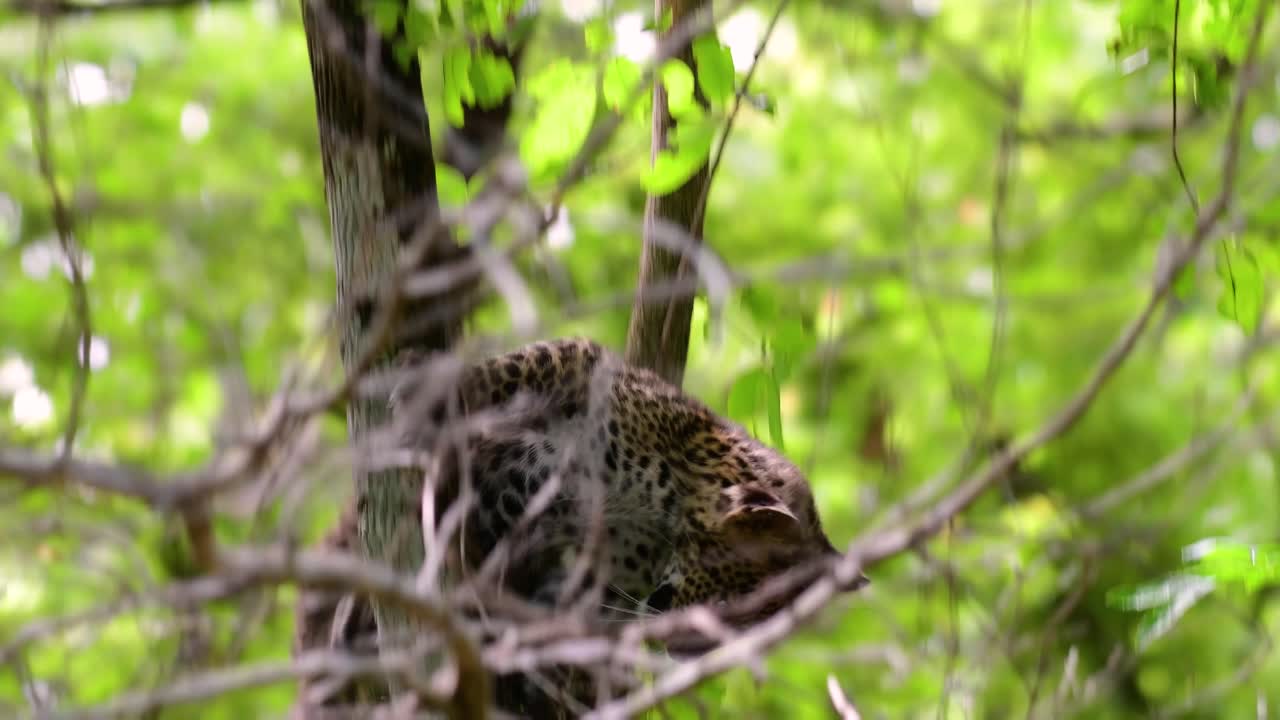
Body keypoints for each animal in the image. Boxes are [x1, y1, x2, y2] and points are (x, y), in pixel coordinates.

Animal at [294, 337, 865, 714]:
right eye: (730, 602)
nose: (686, 652)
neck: (662, 511)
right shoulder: (586, 368)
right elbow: (512, 369)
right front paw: (427, 383)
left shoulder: (595, 583)